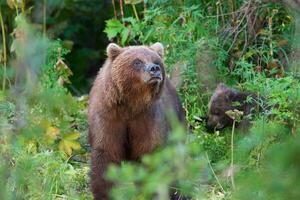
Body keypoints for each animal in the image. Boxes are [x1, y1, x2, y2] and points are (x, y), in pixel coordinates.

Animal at [87, 41, 185, 198]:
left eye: (156, 61)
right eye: (137, 61)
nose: (154, 69)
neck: (131, 104)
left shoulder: (147, 118)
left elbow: (149, 152)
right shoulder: (108, 115)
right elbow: (106, 152)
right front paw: (104, 193)